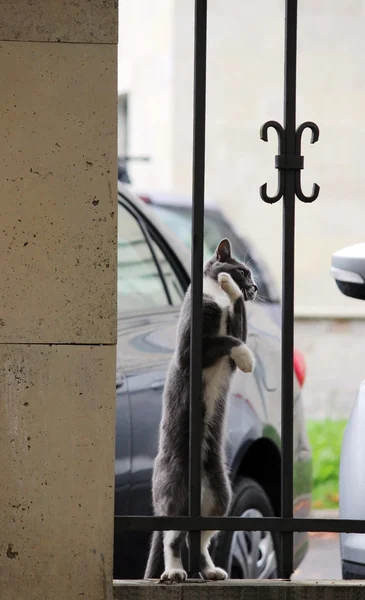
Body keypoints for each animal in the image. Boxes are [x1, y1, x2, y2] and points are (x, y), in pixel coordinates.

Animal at [143, 238, 256, 580]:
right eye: (244, 270)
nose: (255, 287)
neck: (217, 301)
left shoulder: (232, 334)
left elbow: (237, 329)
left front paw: (232, 291)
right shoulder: (191, 347)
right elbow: (226, 340)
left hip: (222, 494)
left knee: (202, 538)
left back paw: (210, 571)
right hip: (176, 492)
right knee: (172, 538)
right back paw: (174, 572)